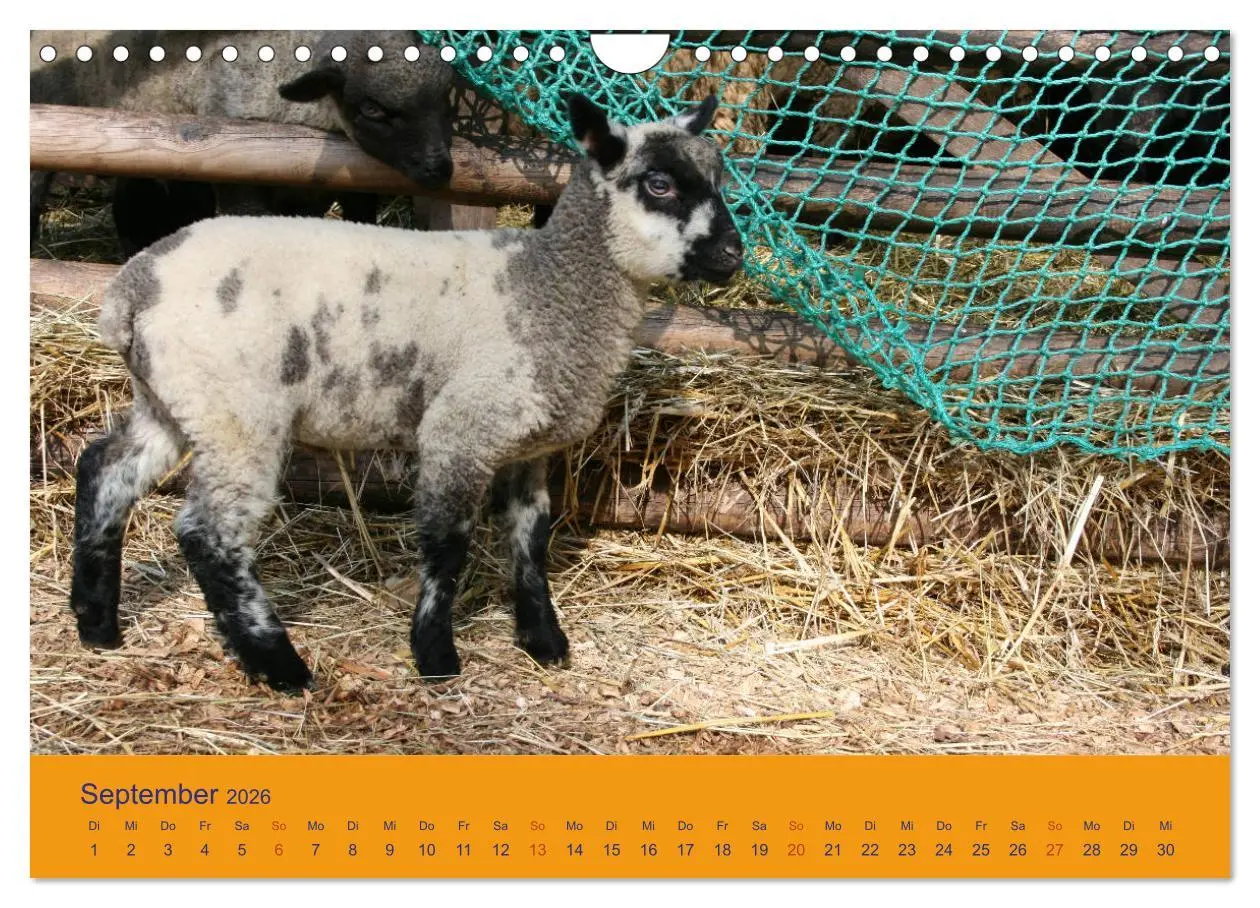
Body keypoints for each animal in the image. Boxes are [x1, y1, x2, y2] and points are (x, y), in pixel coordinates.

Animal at [70, 93, 744, 693]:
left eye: (715, 177)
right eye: (659, 184)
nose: (734, 255)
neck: (547, 287)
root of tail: (133, 287)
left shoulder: (526, 444)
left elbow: (531, 538)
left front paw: (544, 640)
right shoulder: (461, 429)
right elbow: (448, 544)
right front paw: (435, 654)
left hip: (175, 400)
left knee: (104, 470)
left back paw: (97, 624)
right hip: (236, 413)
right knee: (209, 534)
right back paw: (279, 665)